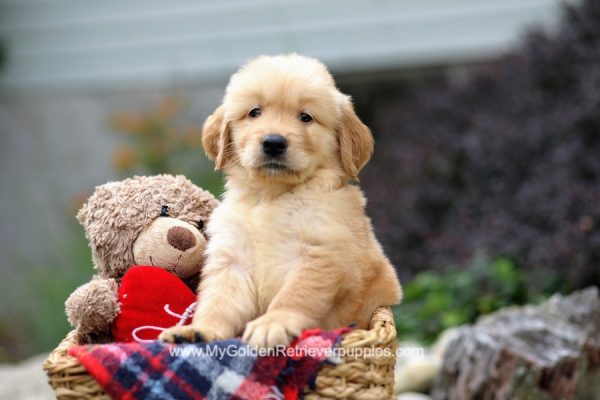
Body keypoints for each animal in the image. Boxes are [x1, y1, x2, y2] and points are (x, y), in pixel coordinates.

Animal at [162, 54, 400, 348]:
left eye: (305, 117)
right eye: (255, 112)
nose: (273, 142)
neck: (271, 196)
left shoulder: (322, 252)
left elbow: (295, 295)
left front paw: (272, 323)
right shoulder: (232, 260)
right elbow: (219, 301)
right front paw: (200, 329)